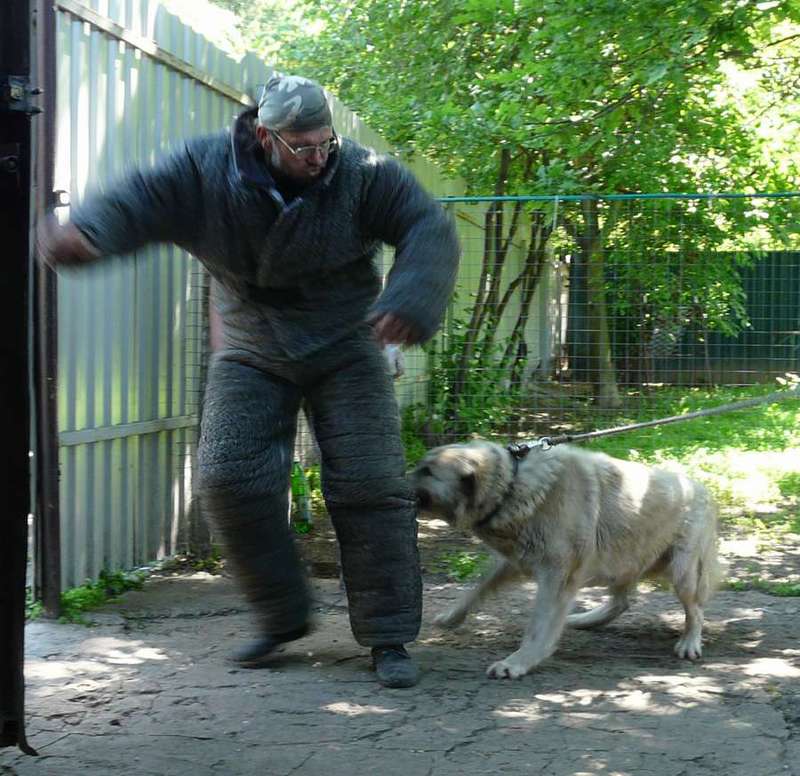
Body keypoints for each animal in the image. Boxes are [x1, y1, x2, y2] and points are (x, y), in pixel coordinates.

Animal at [410, 439, 721, 679]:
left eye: (427, 471)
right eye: (420, 466)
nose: (399, 479)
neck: (512, 486)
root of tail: (703, 489)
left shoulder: (556, 576)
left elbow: (538, 626)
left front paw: (519, 662)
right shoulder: (513, 562)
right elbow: (477, 589)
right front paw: (452, 616)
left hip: (681, 573)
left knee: (696, 610)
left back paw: (689, 642)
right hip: (621, 558)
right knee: (621, 602)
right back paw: (582, 620)